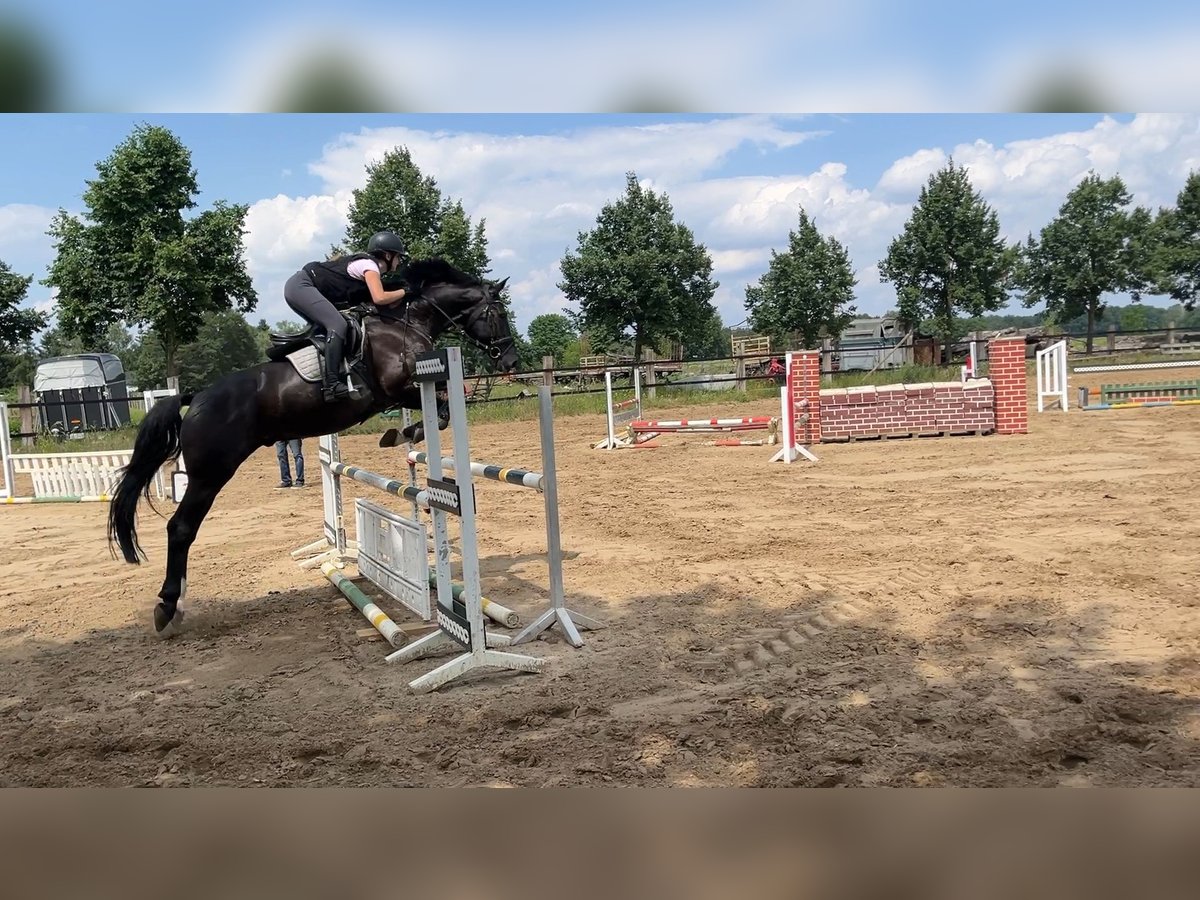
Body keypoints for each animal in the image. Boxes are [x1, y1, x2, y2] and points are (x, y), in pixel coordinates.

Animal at [104, 259, 516, 643]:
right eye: (498, 314)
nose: (510, 361)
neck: (406, 322)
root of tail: (196, 397)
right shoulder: (398, 387)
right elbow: (443, 409)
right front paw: (404, 432)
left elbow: (444, 408)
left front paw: (402, 433)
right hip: (210, 474)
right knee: (181, 528)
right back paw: (167, 606)